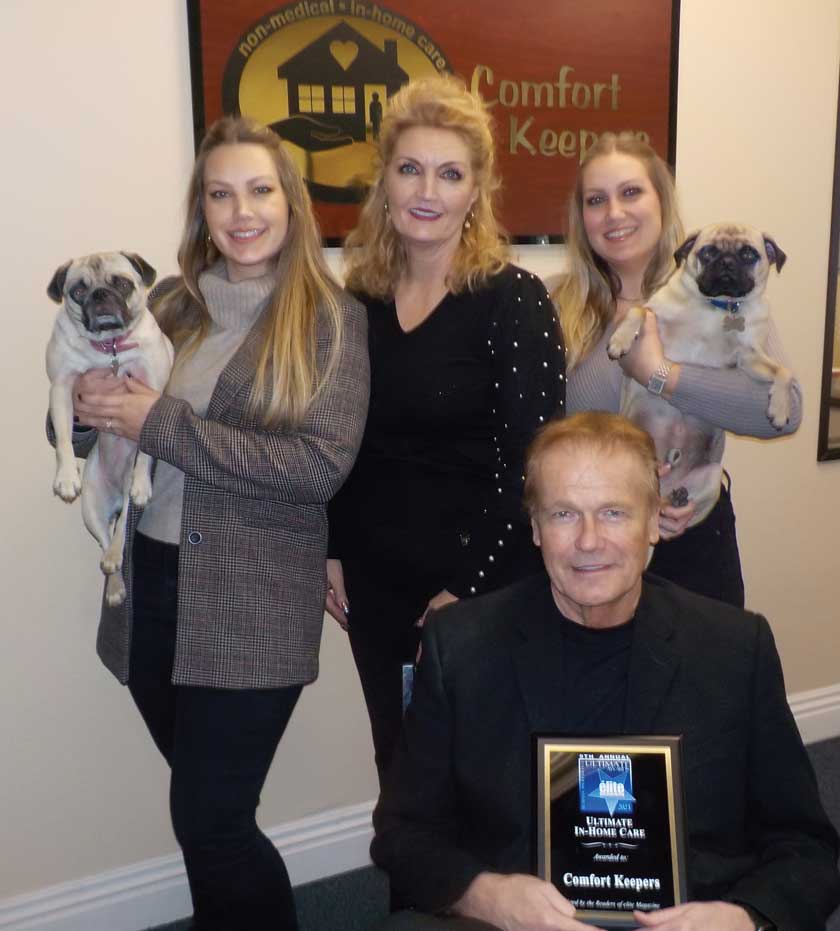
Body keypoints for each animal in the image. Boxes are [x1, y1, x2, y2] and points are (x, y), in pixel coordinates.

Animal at [47, 252, 174, 606]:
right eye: (78, 291)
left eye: (122, 283)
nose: (101, 295)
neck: (109, 348)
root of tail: (117, 496)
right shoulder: (62, 388)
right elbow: (64, 440)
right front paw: (66, 477)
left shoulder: (151, 392)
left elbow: (146, 452)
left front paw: (143, 479)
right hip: (91, 508)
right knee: (106, 539)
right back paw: (114, 581)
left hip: (127, 504)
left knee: (121, 531)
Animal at [606, 222, 792, 526]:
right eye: (708, 252)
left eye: (748, 254)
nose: (726, 262)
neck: (719, 306)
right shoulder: (653, 312)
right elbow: (637, 310)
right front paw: (620, 341)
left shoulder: (749, 357)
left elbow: (784, 372)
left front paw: (780, 409)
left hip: (713, 476)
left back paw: (676, 498)